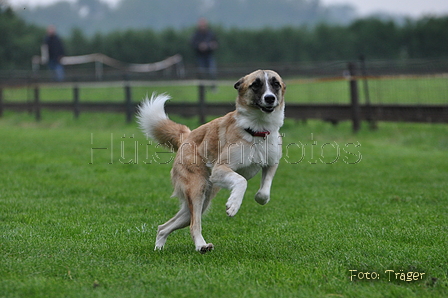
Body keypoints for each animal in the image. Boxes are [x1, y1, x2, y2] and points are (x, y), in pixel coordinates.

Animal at [136, 70, 286, 254]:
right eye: (256, 84)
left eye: (275, 83)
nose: (270, 98)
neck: (257, 129)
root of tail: (187, 136)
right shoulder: (220, 169)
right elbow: (241, 180)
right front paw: (233, 205)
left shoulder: (271, 163)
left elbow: (265, 190)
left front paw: (259, 198)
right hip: (197, 190)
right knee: (194, 225)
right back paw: (201, 245)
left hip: (201, 201)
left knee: (164, 227)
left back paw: (159, 248)